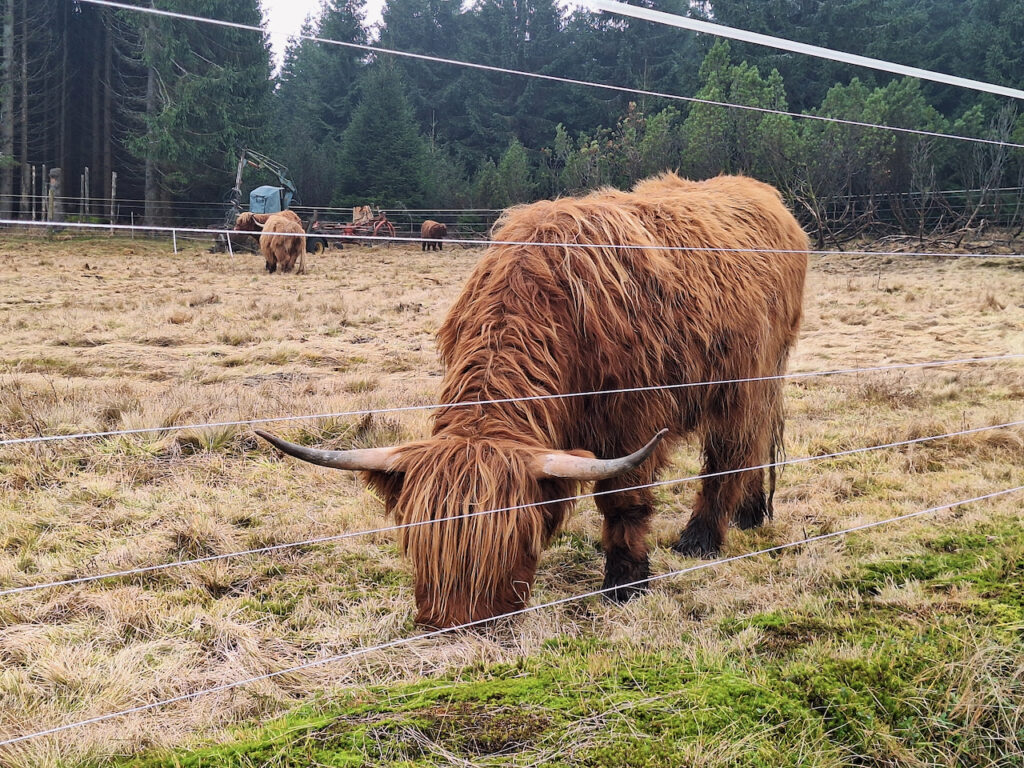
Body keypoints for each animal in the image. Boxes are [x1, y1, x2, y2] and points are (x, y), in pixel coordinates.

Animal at [257, 173, 808, 628]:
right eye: (416, 540)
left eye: (517, 539)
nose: (454, 623)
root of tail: (764, 194)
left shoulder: (631, 417)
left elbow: (623, 500)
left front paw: (626, 582)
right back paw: (751, 512)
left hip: (749, 377)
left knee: (733, 452)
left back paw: (703, 538)